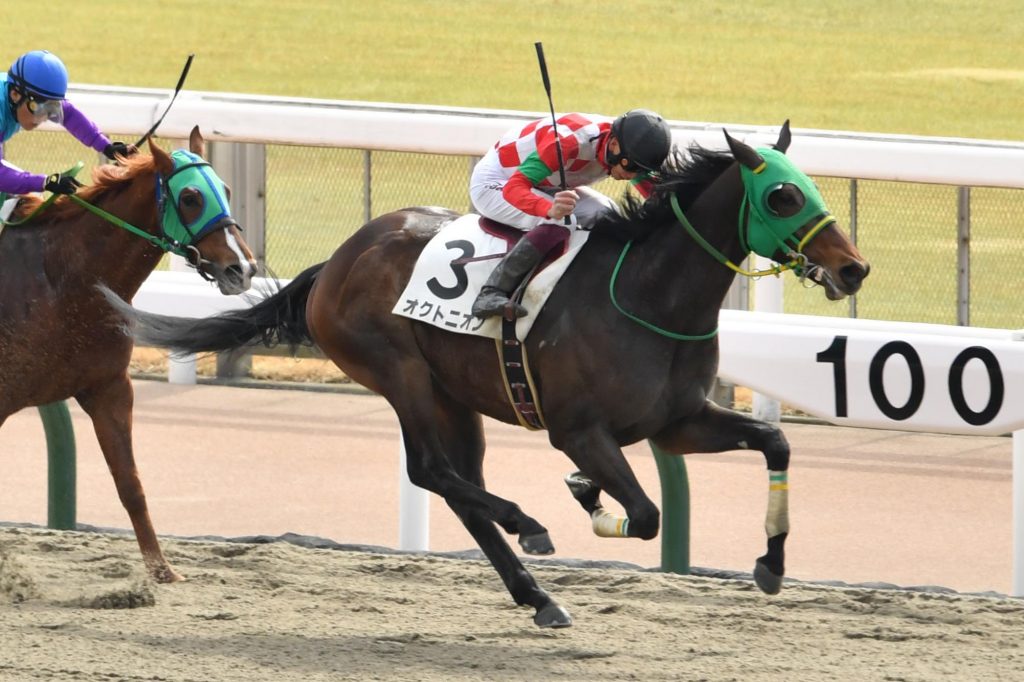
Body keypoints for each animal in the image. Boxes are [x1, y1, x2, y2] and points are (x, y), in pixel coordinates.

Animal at [0, 127, 256, 577]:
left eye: (225, 189)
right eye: (191, 198)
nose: (242, 268)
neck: (64, 280)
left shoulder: (109, 388)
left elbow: (131, 484)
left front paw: (162, 570)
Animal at [105, 124, 872, 622]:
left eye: (810, 188)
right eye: (781, 198)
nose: (853, 268)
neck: (649, 294)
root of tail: (338, 259)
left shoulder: (678, 422)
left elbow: (774, 443)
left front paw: (770, 566)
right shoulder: (579, 429)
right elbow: (648, 514)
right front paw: (589, 498)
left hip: (456, 395)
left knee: (460, 487)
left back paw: (538, 594)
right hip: (401, 374)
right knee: (433, 472)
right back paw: (528, 526)